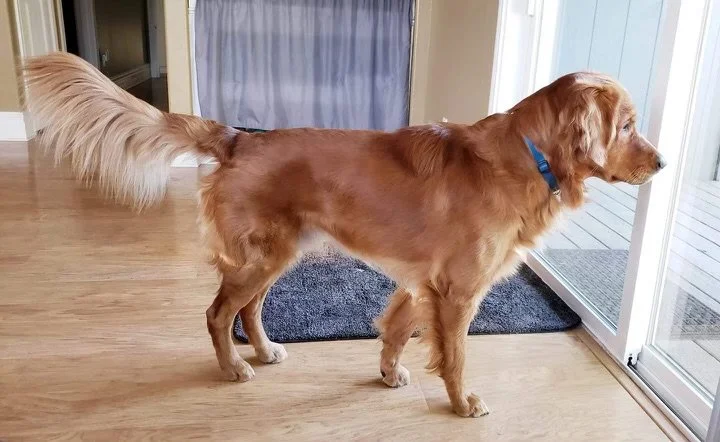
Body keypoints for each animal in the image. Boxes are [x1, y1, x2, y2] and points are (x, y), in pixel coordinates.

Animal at [23, 52, 665, 418]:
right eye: (627, 126)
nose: (661, 164)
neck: (524, 157)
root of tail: (239, 137)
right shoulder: (457, 292)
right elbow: (455, 356)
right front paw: (461, 404)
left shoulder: (421, 281)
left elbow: (397, 328)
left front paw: (387, 373)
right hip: (263, 254)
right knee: (217, 312)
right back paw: (233, 368)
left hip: (279, 253)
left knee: (247, 308)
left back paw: (263, 350)